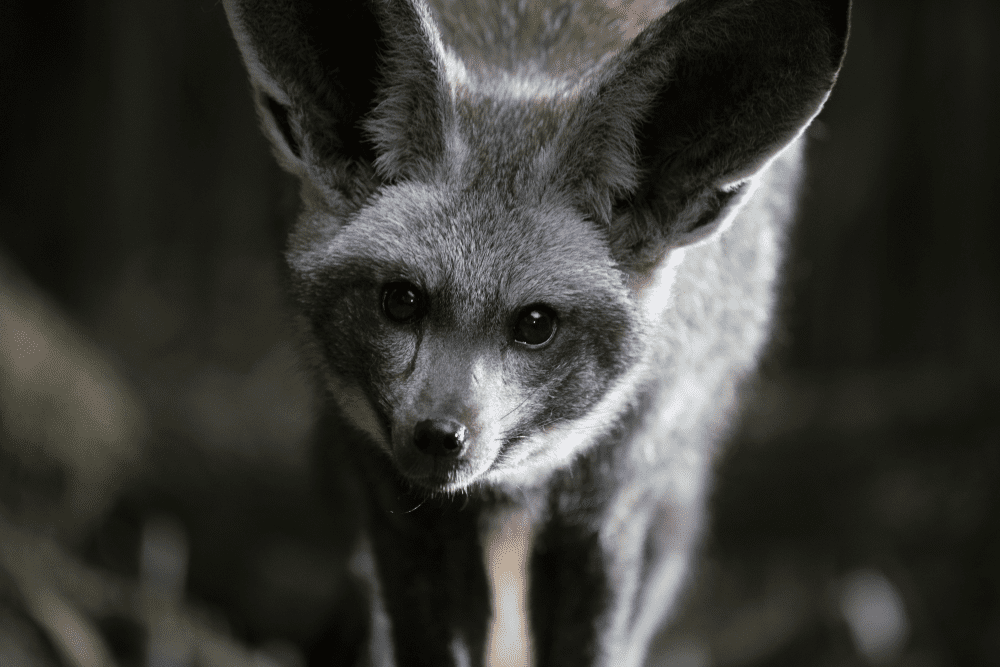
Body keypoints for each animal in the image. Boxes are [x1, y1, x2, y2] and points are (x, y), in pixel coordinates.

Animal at [223, 0, 848, 664]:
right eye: (401, 300)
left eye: (536, 324)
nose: (439, 436)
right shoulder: (393, 496)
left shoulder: (606, 506)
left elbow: (595, 641)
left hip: (678, 483)